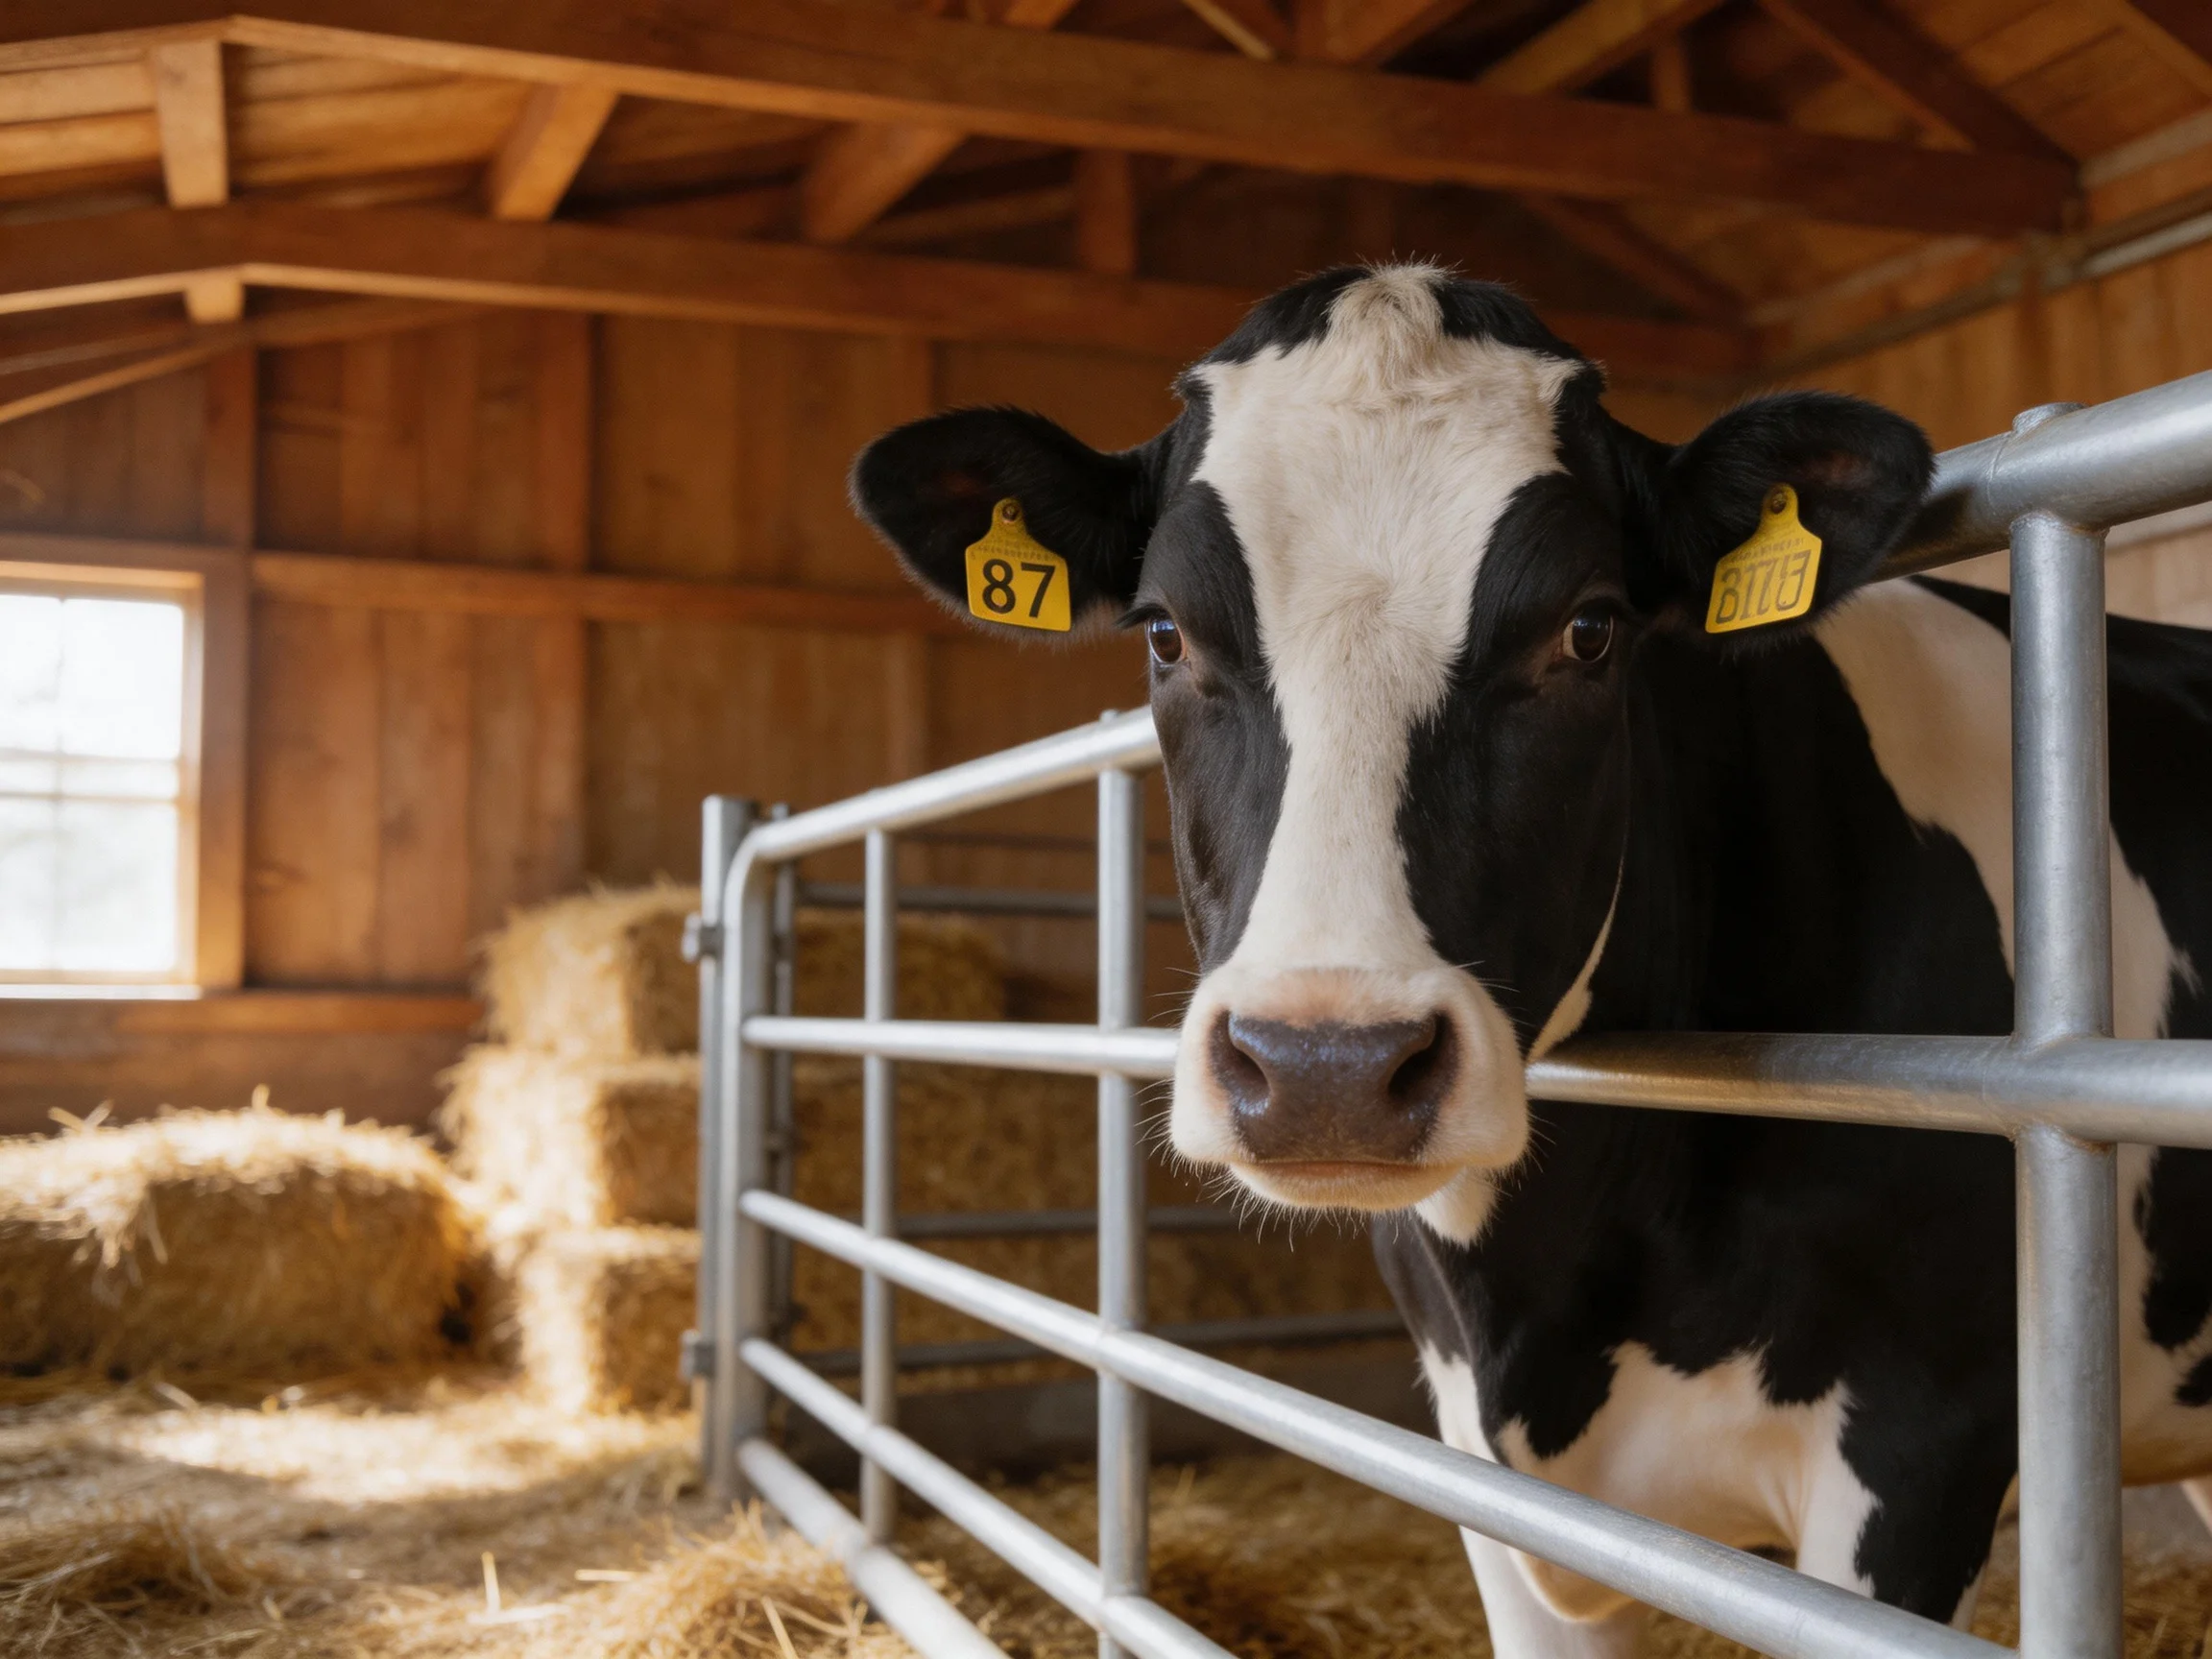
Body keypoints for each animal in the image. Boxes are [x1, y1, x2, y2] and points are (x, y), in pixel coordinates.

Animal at [849, 264, 2212, 1657]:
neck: (1563, 1279)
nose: (1326, 1067)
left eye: (1591, 629)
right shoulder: (1493, 1473)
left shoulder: (1925, 1445)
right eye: (1166, 634)